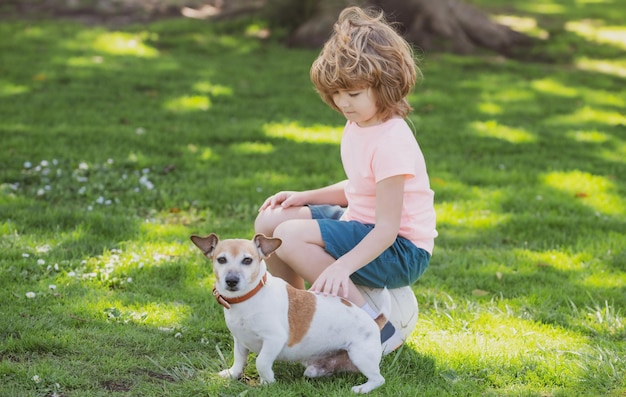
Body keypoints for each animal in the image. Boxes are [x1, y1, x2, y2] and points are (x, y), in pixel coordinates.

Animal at [188, 234, 388, 392]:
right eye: (221, 260)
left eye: (247, 260)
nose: (231, 280)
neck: (248, 299)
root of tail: (375, 321)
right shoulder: (239, 340)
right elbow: (239, 360)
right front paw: (232, 374)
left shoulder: (274, 339)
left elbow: (261, 362)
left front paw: (267, 382)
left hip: (361, 356)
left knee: (379, 379)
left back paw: (362, 388)